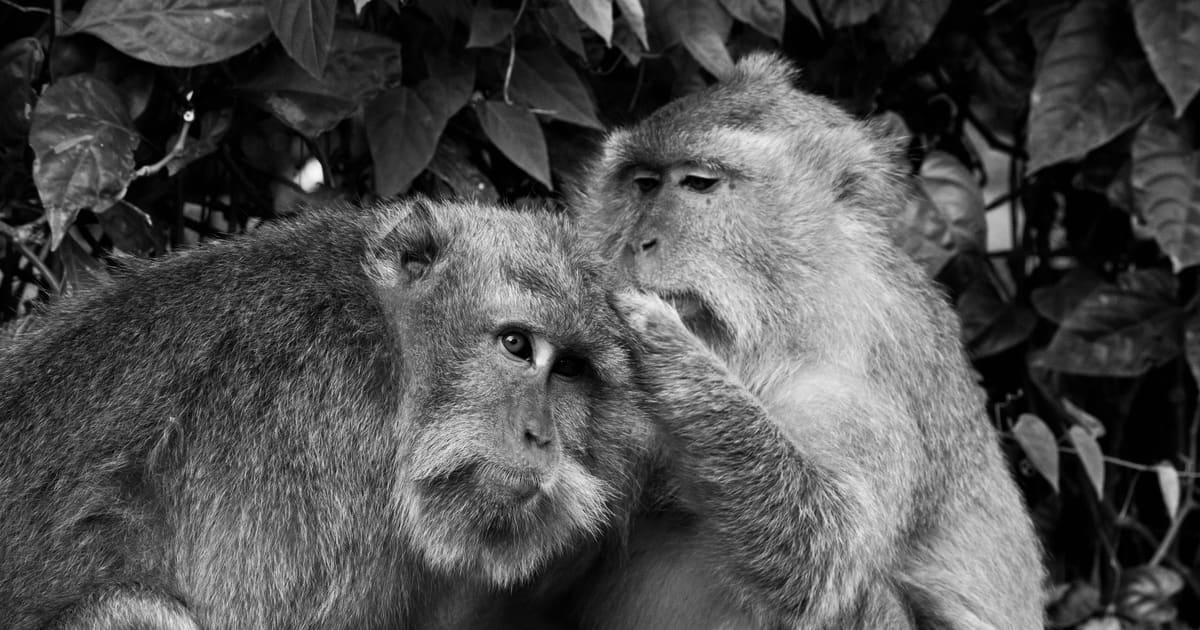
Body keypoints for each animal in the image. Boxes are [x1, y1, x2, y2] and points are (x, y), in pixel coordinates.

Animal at [563, 52, 1046, 629]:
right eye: (644, 183)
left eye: (698, 183)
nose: (639, 242)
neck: (790, 315)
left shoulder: (855, 384)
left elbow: (825, 550)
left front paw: (669, 351)